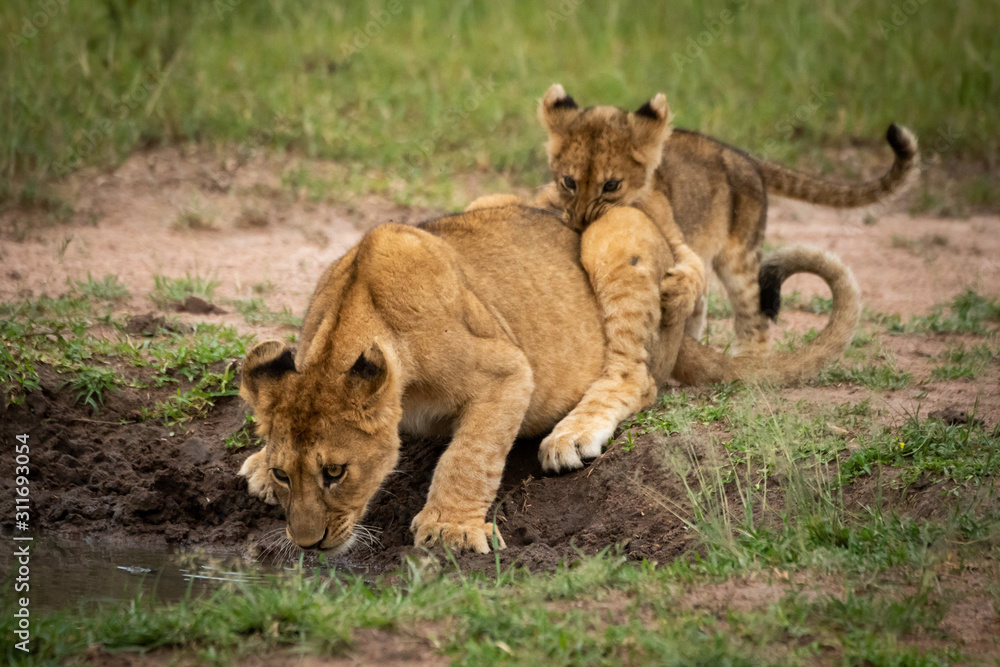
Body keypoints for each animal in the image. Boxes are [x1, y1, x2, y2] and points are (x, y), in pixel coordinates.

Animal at [238, 203, 860, 554]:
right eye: (288, 473)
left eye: (336, 473)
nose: (307, 544)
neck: (352, 315)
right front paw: (258, 467)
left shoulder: (507, 369)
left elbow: (470, 455)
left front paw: (450, 529)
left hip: (616, 234)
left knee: (636, 377)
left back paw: (572, 436)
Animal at [532, 84, 918, 355]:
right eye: (569, 182)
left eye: (611, 185)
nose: (581, 225)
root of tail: (743, 156)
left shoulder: (677, 237)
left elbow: (691, 272)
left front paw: (674, 291)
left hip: (740, 258)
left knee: (754, 318)